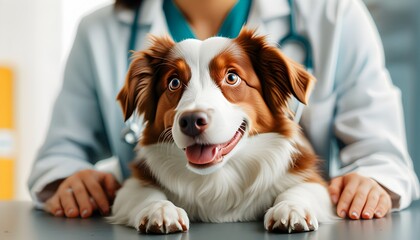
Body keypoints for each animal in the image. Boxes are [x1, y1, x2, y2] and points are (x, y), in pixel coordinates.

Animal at [110, 28, 336, 234]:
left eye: (232, 77)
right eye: (174, 82)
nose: (191, 120)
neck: (219, 177)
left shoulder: (308, 176)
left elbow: (302, 188)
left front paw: (291, 207)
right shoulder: (133, 183)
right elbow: (145, 193)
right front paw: (160, 209)